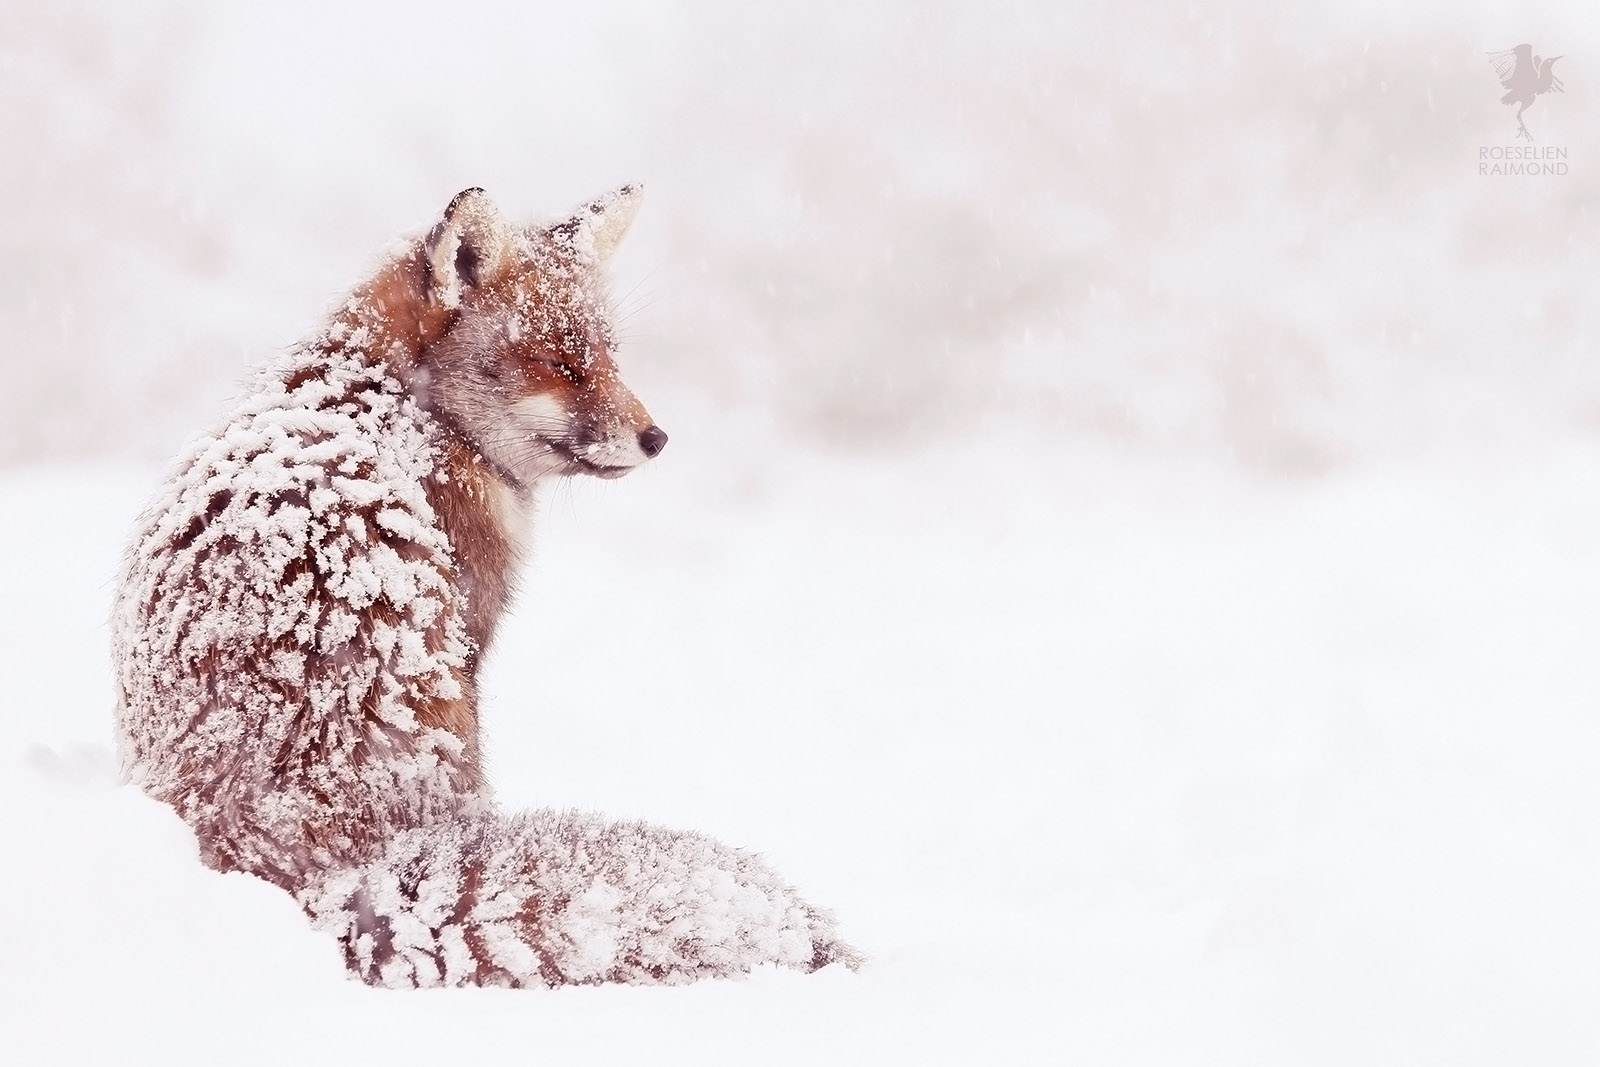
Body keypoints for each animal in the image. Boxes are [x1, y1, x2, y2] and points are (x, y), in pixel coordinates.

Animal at [111, 186, 857, 988]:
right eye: (561, 363)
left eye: (609, 357)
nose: (657, 438)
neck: (406, 405)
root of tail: (329, 880)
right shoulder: (472, 631)